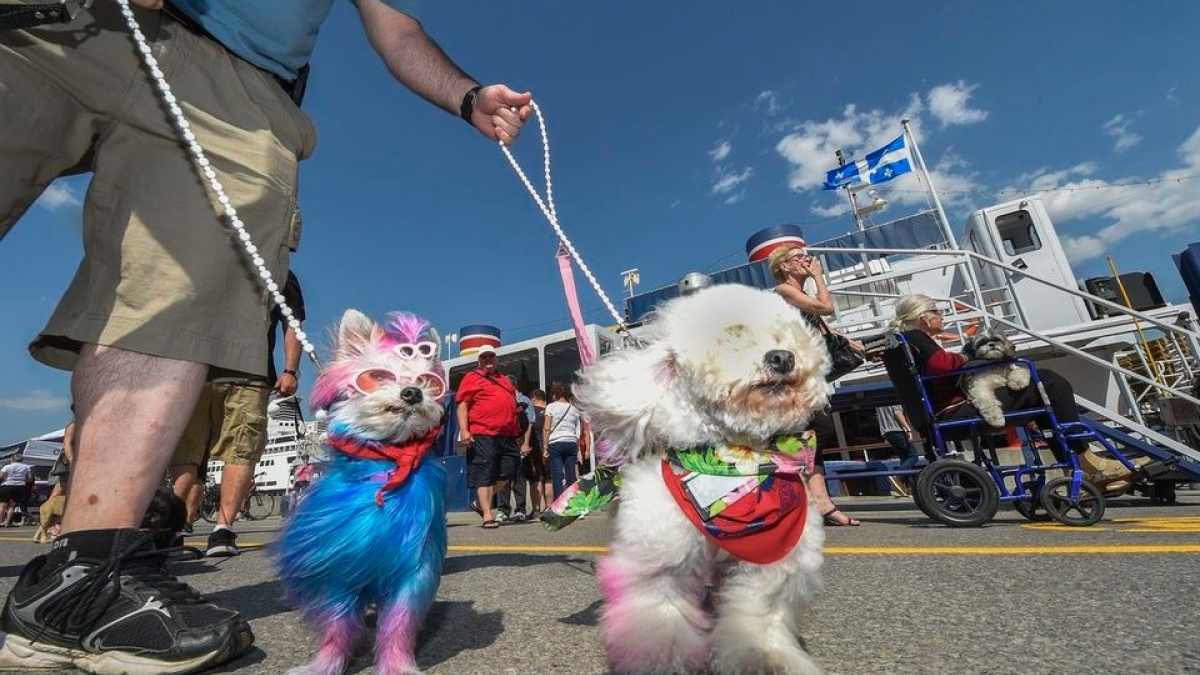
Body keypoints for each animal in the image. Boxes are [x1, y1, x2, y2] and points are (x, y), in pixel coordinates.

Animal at [276, 309, 451, 672]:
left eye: (427, 382)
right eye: (379, 376)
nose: (412, 392)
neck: (387, 464)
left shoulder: (412, 575)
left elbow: (398, 626)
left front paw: (397, 666)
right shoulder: (336, 574)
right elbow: (337, 629)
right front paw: (324, 665)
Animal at [576, 283, 830, 672]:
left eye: (783, 335)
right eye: (733, 334)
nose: (783, 358)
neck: (732, 466)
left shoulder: (773, 566)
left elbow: (760, 617)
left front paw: (765, 657)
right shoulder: (664, 560)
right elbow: (661, 621)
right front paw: (662, 662)